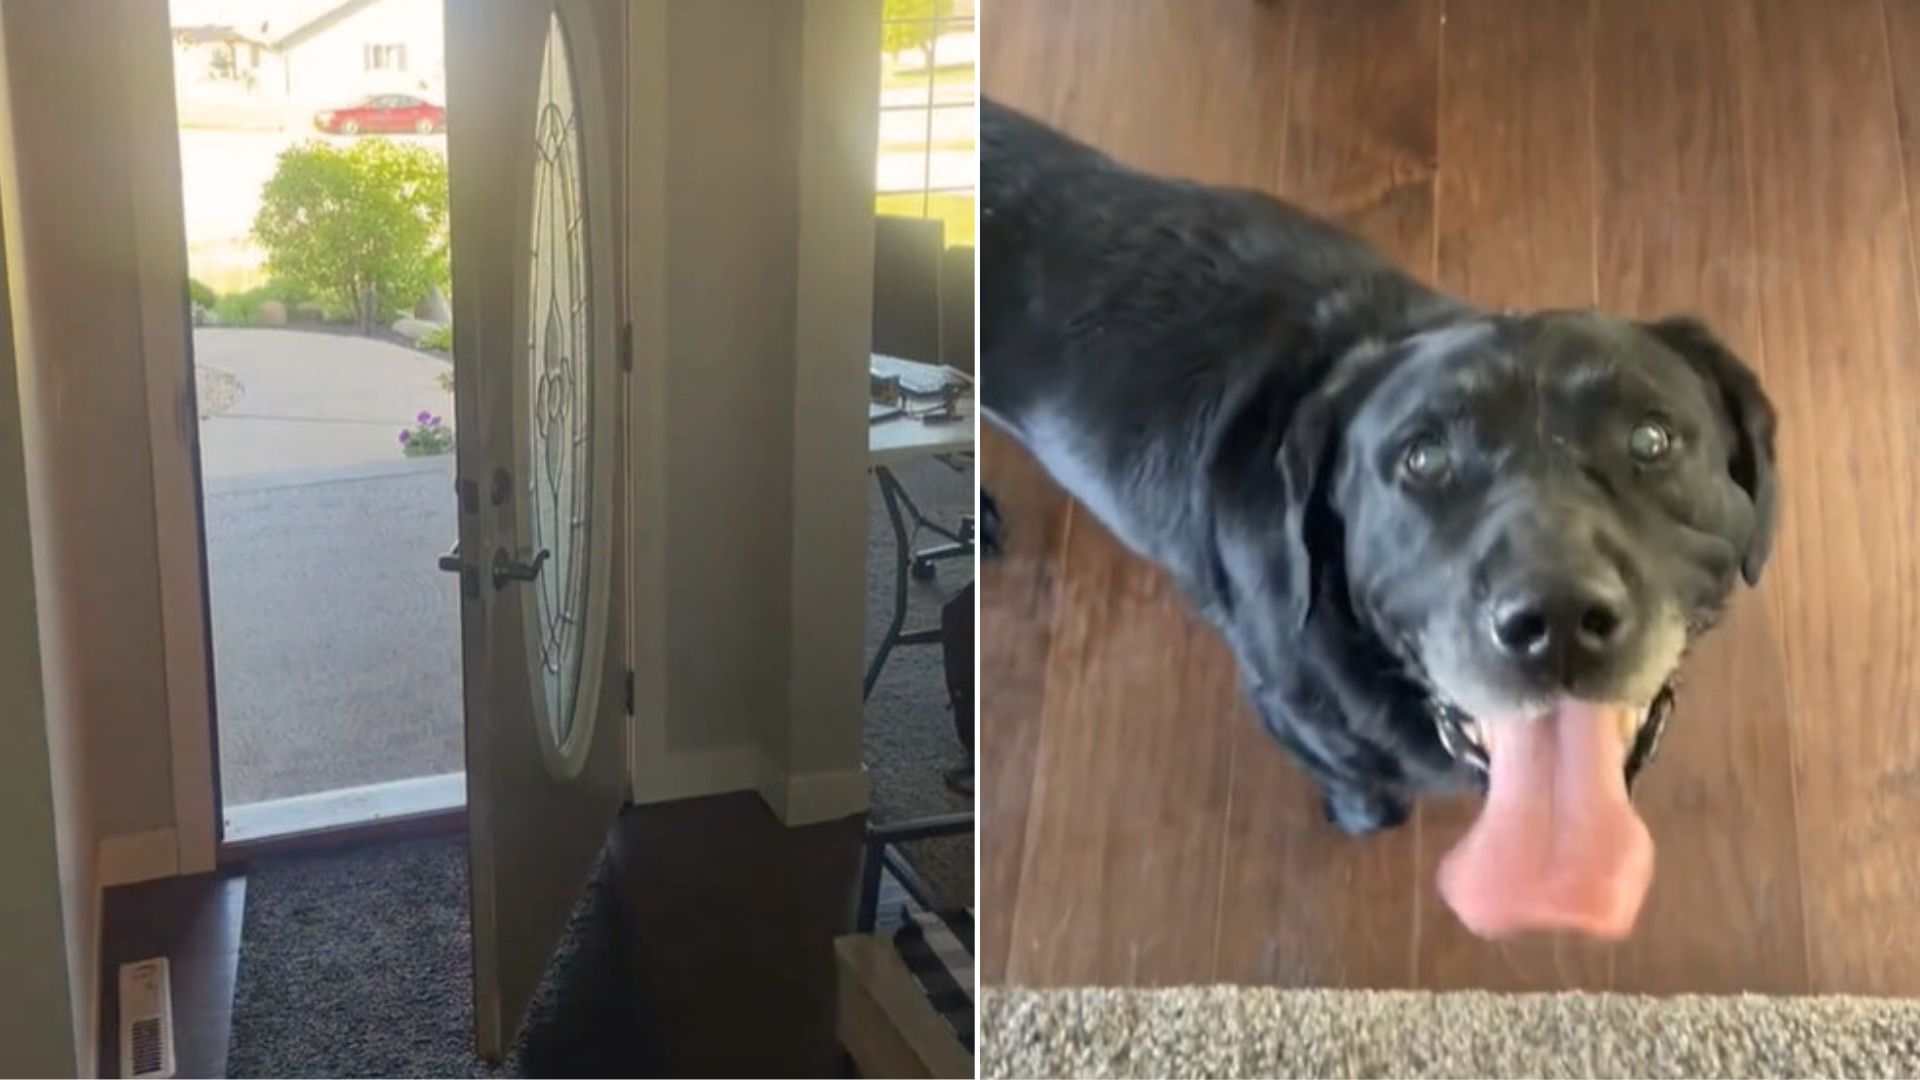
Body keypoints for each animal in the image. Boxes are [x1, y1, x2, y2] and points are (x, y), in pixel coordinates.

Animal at [983, 100, 1774, 933]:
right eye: (1423, 459)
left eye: (1651, 439)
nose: (1554, 619)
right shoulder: (1291, 712)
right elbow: (1363, 786)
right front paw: (1364, 816)